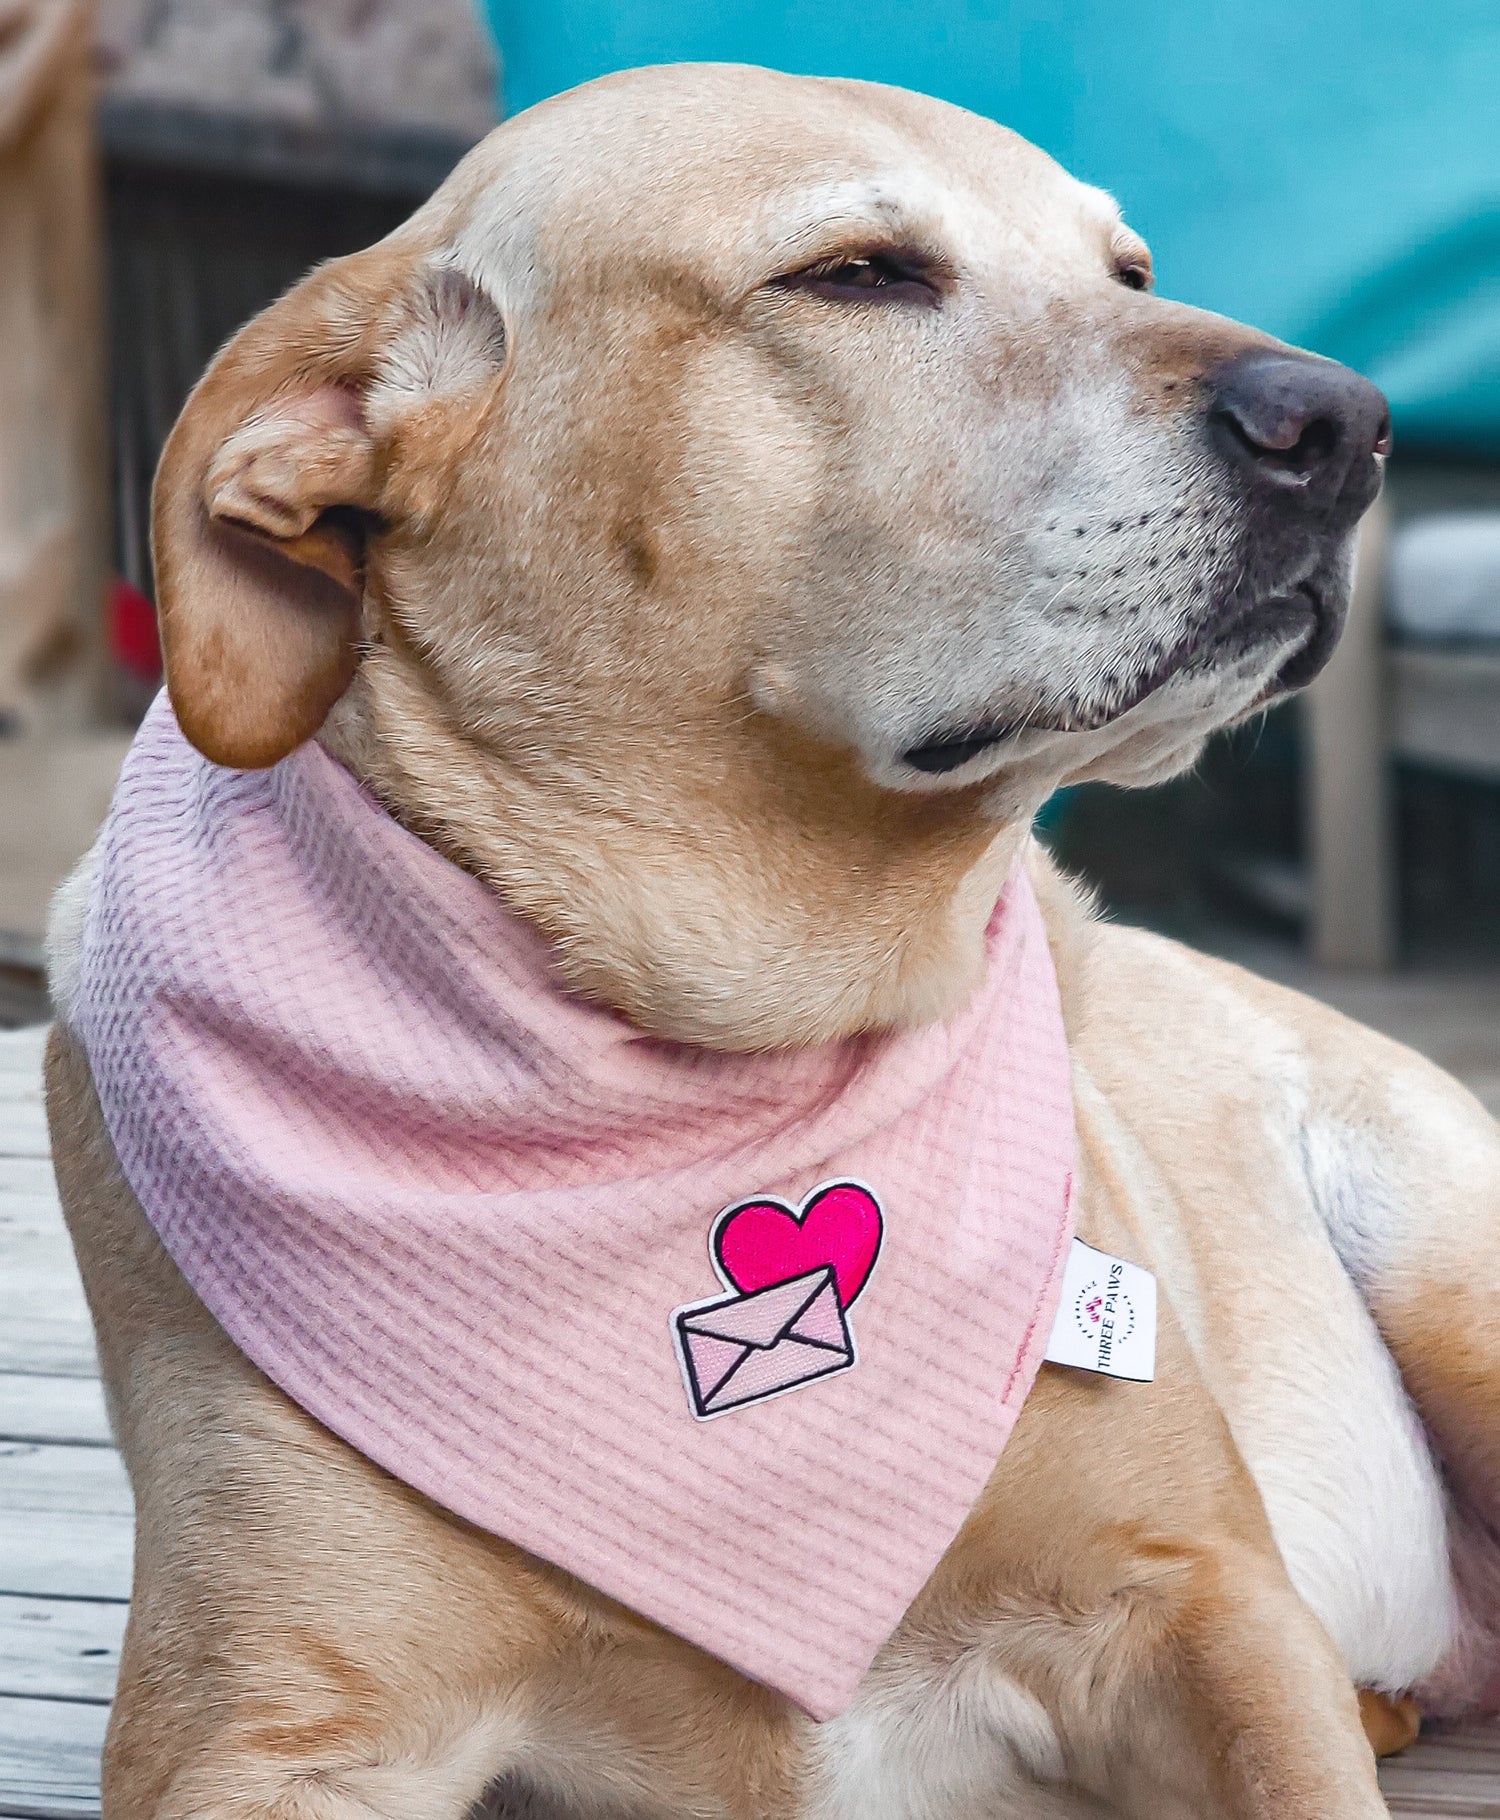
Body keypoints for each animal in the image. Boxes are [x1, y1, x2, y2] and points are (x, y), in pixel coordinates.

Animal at [40, 64, 1492, 1820]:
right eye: (859, 274)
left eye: (1129, 270)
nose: (1342, 421)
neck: (751, 1037)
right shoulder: (263, 1732)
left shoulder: (1203, 1599)